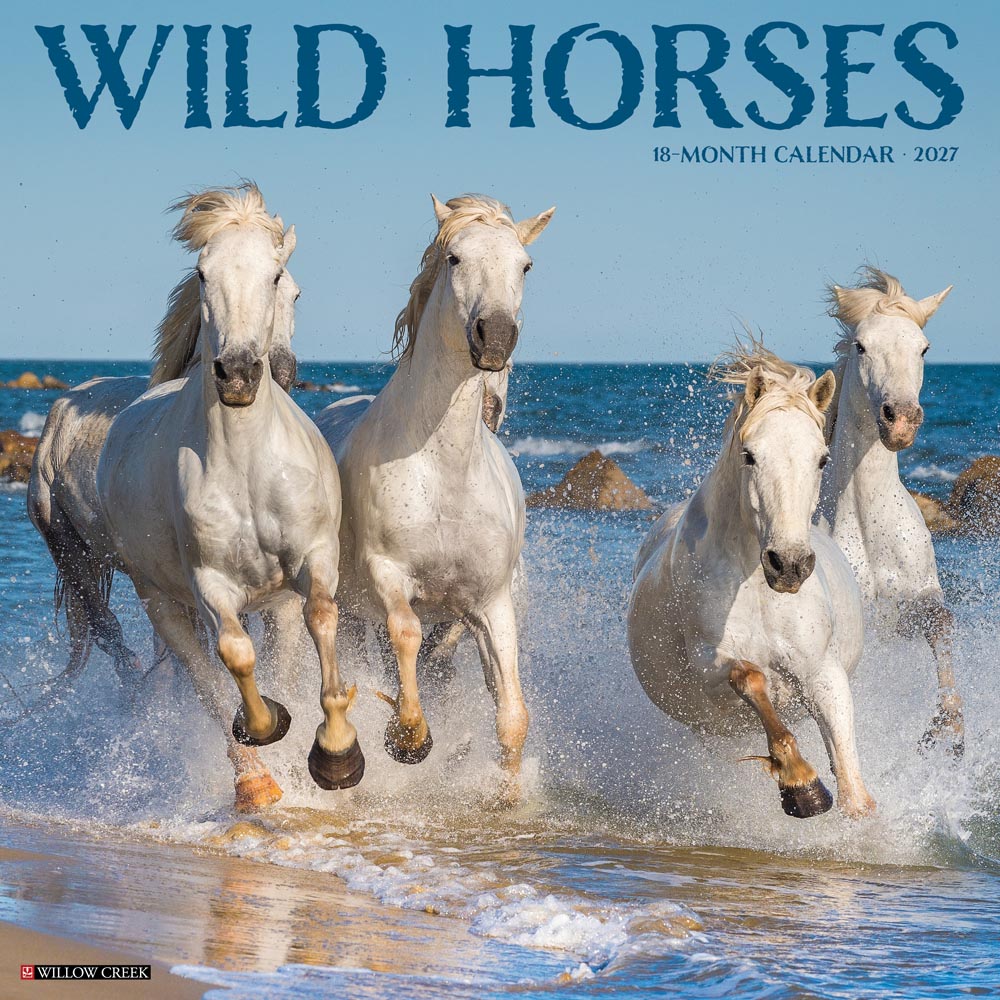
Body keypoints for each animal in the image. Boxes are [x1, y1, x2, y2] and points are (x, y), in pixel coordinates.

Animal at [27, 223, 300, 712]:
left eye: (292, 291)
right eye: (206, 280)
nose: (276, 371)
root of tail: (59, 412)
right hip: (70, 552)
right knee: (109, 632)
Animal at [97, 184, 361, 812]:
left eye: (280, 277)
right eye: (202, 273)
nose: (238, 373)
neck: (246, 466)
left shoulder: (314, 561)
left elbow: (322, 618)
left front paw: (338, 754)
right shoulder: (209, 583)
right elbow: (236, 657)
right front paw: (268, 727)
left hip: (275, 605)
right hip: (163, 604)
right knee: (206, 680)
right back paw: (255, 781)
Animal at [312, 193, 553, 799]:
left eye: (525, 266)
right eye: (455, 258)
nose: (495, 337)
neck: (445, 473)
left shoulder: (490, 603)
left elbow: (512, 714)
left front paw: (508, 799)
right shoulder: (388, 575)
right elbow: (405, 634)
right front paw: (408, 737)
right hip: (353, 612)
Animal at [628, 341, 875, 819]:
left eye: (822, 458)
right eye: (750, 455)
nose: (789, 565)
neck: (759, 590)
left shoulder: (823, 673)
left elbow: (854, 788)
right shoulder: (710, 667)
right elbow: (751, 677)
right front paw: (802, 785)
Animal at [817, 267, 960, 753]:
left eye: (923, 348)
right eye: (861, 346)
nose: (900, 419)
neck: (868, 524)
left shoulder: (914, 602)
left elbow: (941, 622)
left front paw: (949, 725)